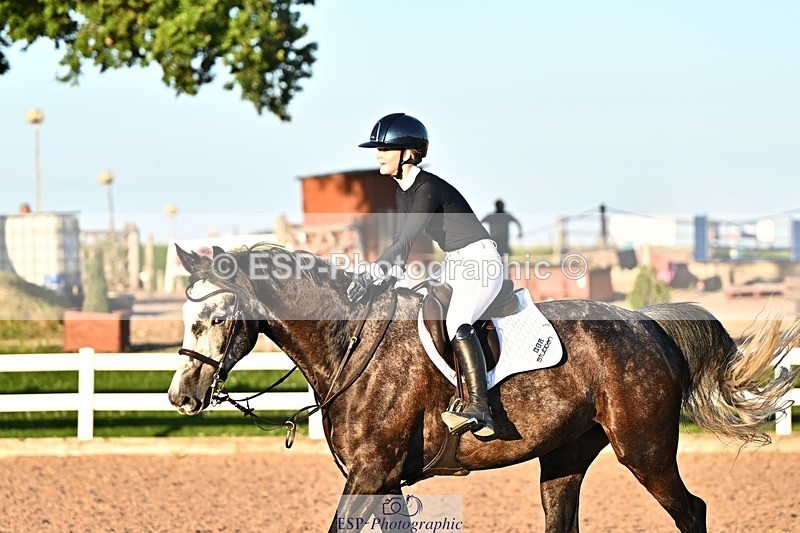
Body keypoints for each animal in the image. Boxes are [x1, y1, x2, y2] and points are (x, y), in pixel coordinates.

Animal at [168, 244, 800, 532]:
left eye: (217, 318)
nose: (181, 396)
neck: (349, 343)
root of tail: (648, 324)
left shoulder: (370, 474)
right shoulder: (385, 480)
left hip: (644, 451)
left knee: (690, 511)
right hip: (565, 457)